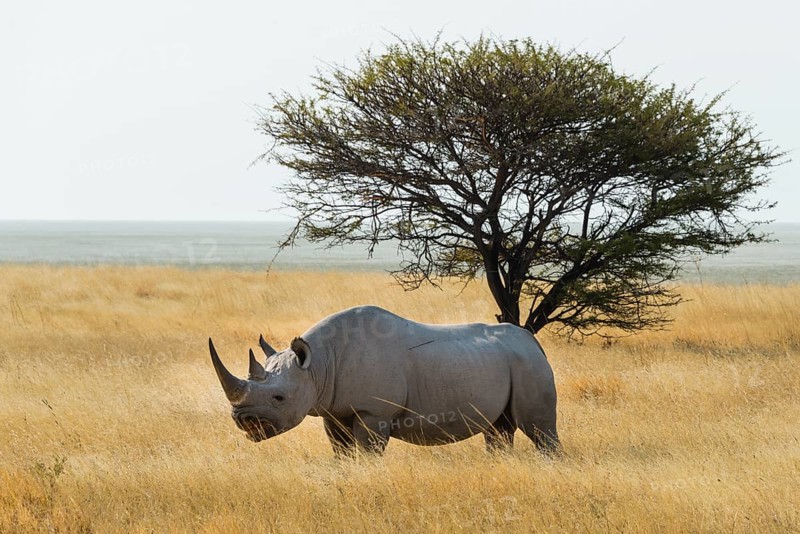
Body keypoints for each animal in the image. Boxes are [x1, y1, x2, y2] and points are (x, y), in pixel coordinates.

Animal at [209, 305, 560, 455]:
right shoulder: (333, 410)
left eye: (279, 398)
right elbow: (341, 451)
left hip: (528, 365)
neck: (319, 365)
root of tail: (533, 341)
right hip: (505, 362)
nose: (242, 420)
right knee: (499, 429)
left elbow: (367, 452)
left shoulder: (373, 411)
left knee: (538, 430)